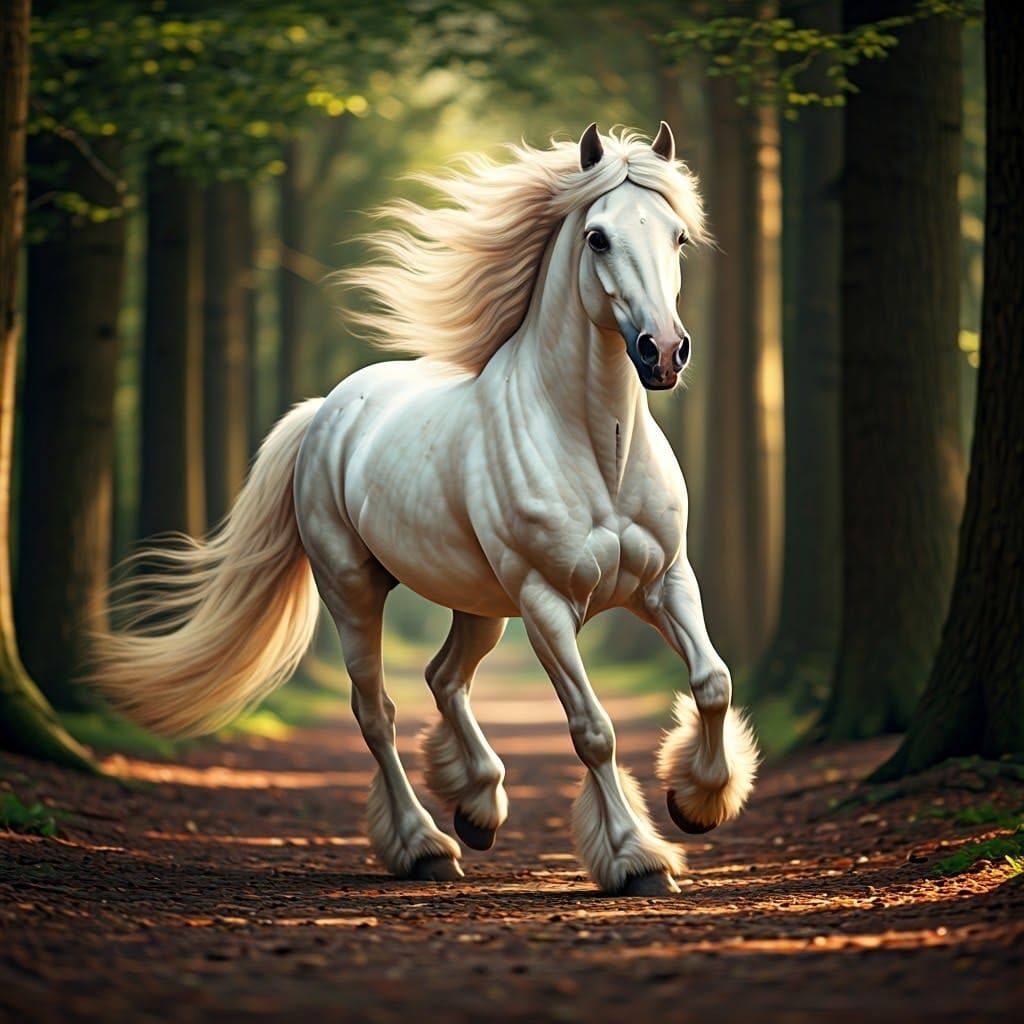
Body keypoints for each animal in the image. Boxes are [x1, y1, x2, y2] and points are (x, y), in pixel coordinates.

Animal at [92, 123, 759, 896]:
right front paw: (636, 858)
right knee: (376, 712)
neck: (600, 451)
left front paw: (698, 801)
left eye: (678, 236)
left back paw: (478, 806)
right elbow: (593, 729)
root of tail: (327, 411)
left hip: (481, 604)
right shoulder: (545, 603)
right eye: (598, 238)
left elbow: (713, 681)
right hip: (355, 589)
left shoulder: (666, 581)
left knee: (444, 678)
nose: (664, 353)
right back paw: (425, 845)